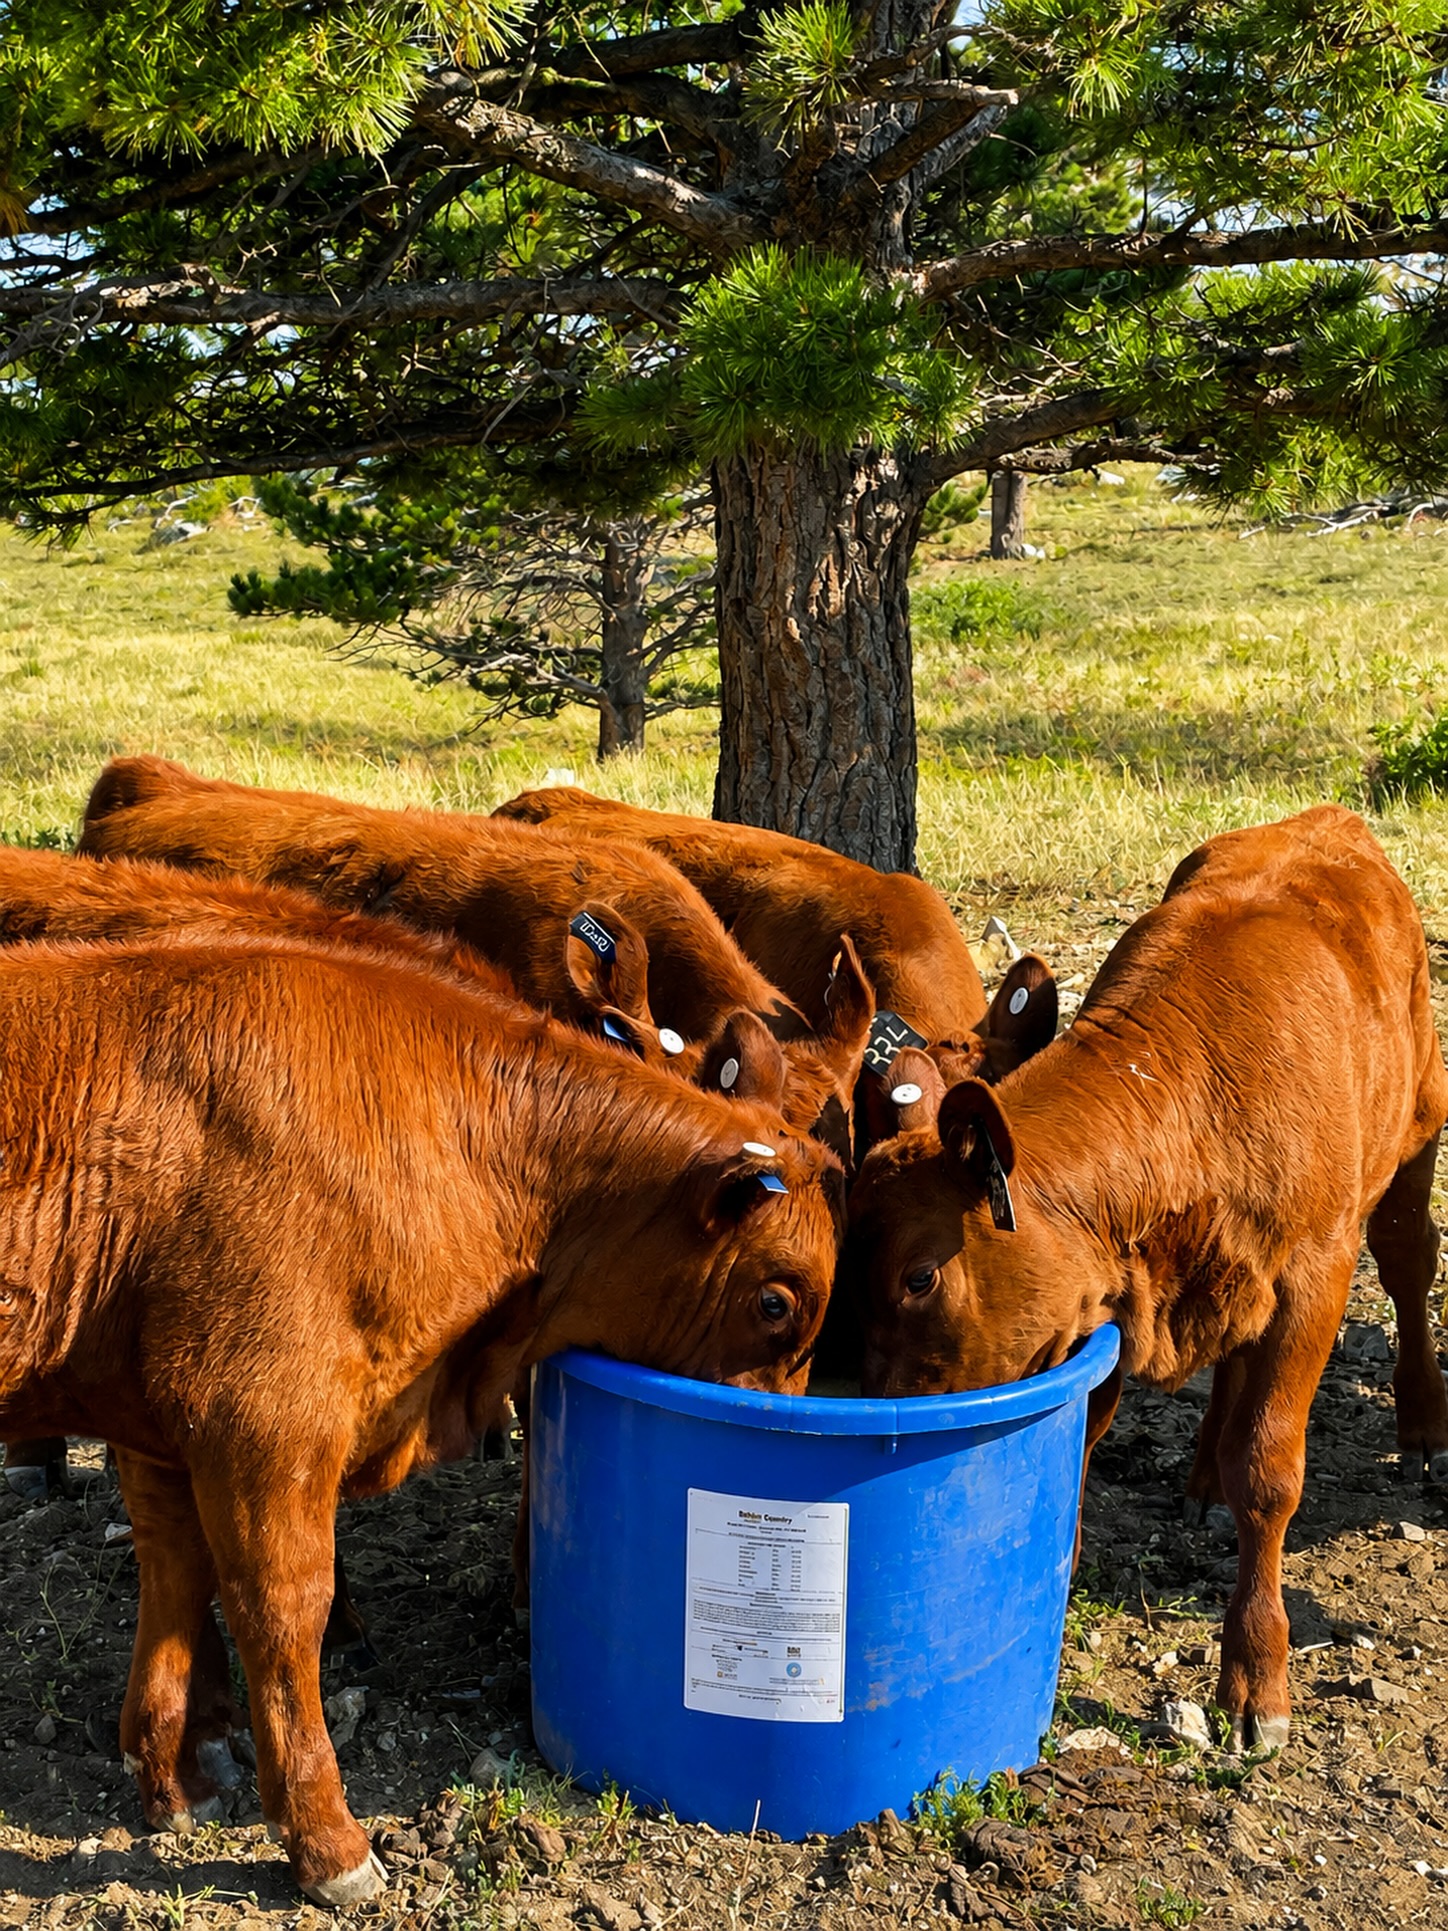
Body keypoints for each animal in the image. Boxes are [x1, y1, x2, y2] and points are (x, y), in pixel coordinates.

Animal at [0, 929, 843, 1905]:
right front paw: (326, 1840)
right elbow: (284, 1613)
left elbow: (176, 1580)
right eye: (775, 1301)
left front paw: (176, 1783)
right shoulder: (260, 1419)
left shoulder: (159, 1425)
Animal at [844, 806, 1448, 1752]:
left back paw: (1422, 1422)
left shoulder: (1314, 1276)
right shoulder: (1107, 1307)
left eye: (918, 1277)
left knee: (1410, 1257)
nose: (874, 1410)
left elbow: (1269, 1470)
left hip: (1415, 1127)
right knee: (1233, 1363)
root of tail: (1330, 820)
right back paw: (1202, 1476)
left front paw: (1255, 1677)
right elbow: (1084, 1447)